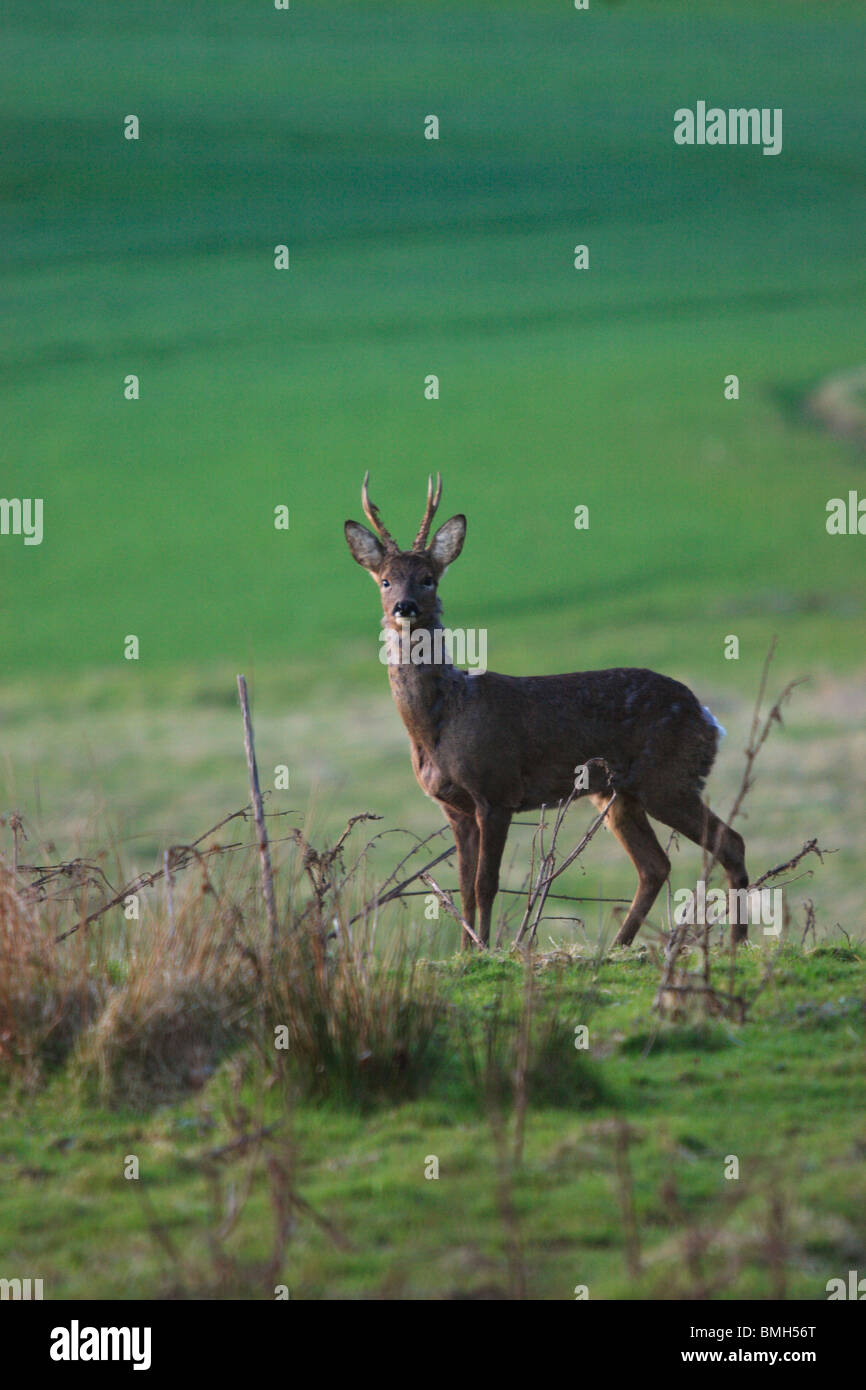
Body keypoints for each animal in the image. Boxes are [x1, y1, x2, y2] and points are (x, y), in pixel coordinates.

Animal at [341, 472, 750, 950]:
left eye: (428, 578)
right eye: (385, 580)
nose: (404, 607)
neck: (438, 723)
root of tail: (708, 719)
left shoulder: (496, 790)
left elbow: (486, 883)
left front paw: (486, 949)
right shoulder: (454, 807)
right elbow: (463, 887)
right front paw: (466, 952)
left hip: (667, 778)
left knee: (730, 842)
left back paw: (736, 943)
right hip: (616, 793)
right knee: (656, 865)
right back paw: (618, 947)